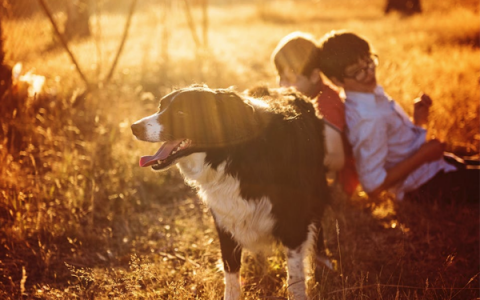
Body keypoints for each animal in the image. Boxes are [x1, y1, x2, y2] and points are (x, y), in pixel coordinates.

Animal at [131, 84, 330, 300]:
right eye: (161, 107)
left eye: (181, 113)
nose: (134, 127)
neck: (233, 155)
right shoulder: (225, 220)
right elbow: (231, 273)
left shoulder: (293, 222)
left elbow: (294, 279)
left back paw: (323, 263)